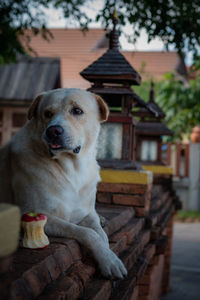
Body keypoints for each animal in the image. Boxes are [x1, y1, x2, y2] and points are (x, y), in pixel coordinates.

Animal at [0, 88, 126, 278]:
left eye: (77, 111)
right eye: (47, 114)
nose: (53, 131)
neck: (72, 169)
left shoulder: (88, 214)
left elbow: (101, 234)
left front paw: (108, 256)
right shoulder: (40, 215)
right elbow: (87, 233)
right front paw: (109, 261)